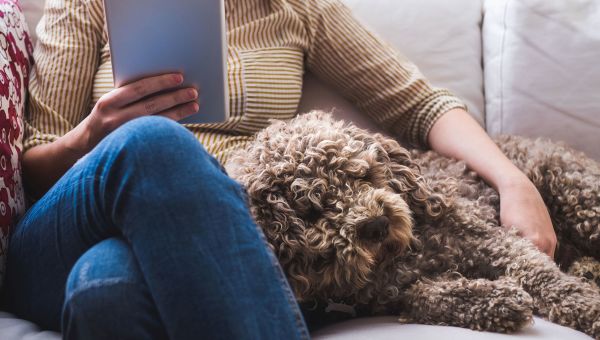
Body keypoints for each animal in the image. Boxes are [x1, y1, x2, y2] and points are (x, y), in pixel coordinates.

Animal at [226, 112, 600, 338]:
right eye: (311, 211)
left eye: (361, 175)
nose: (377, 224)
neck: (400, 255)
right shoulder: (389, 295)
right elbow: (426, 297)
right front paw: (500, 300)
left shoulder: (491, 240)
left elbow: (545, 277)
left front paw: (590, 307)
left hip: (571, 191)